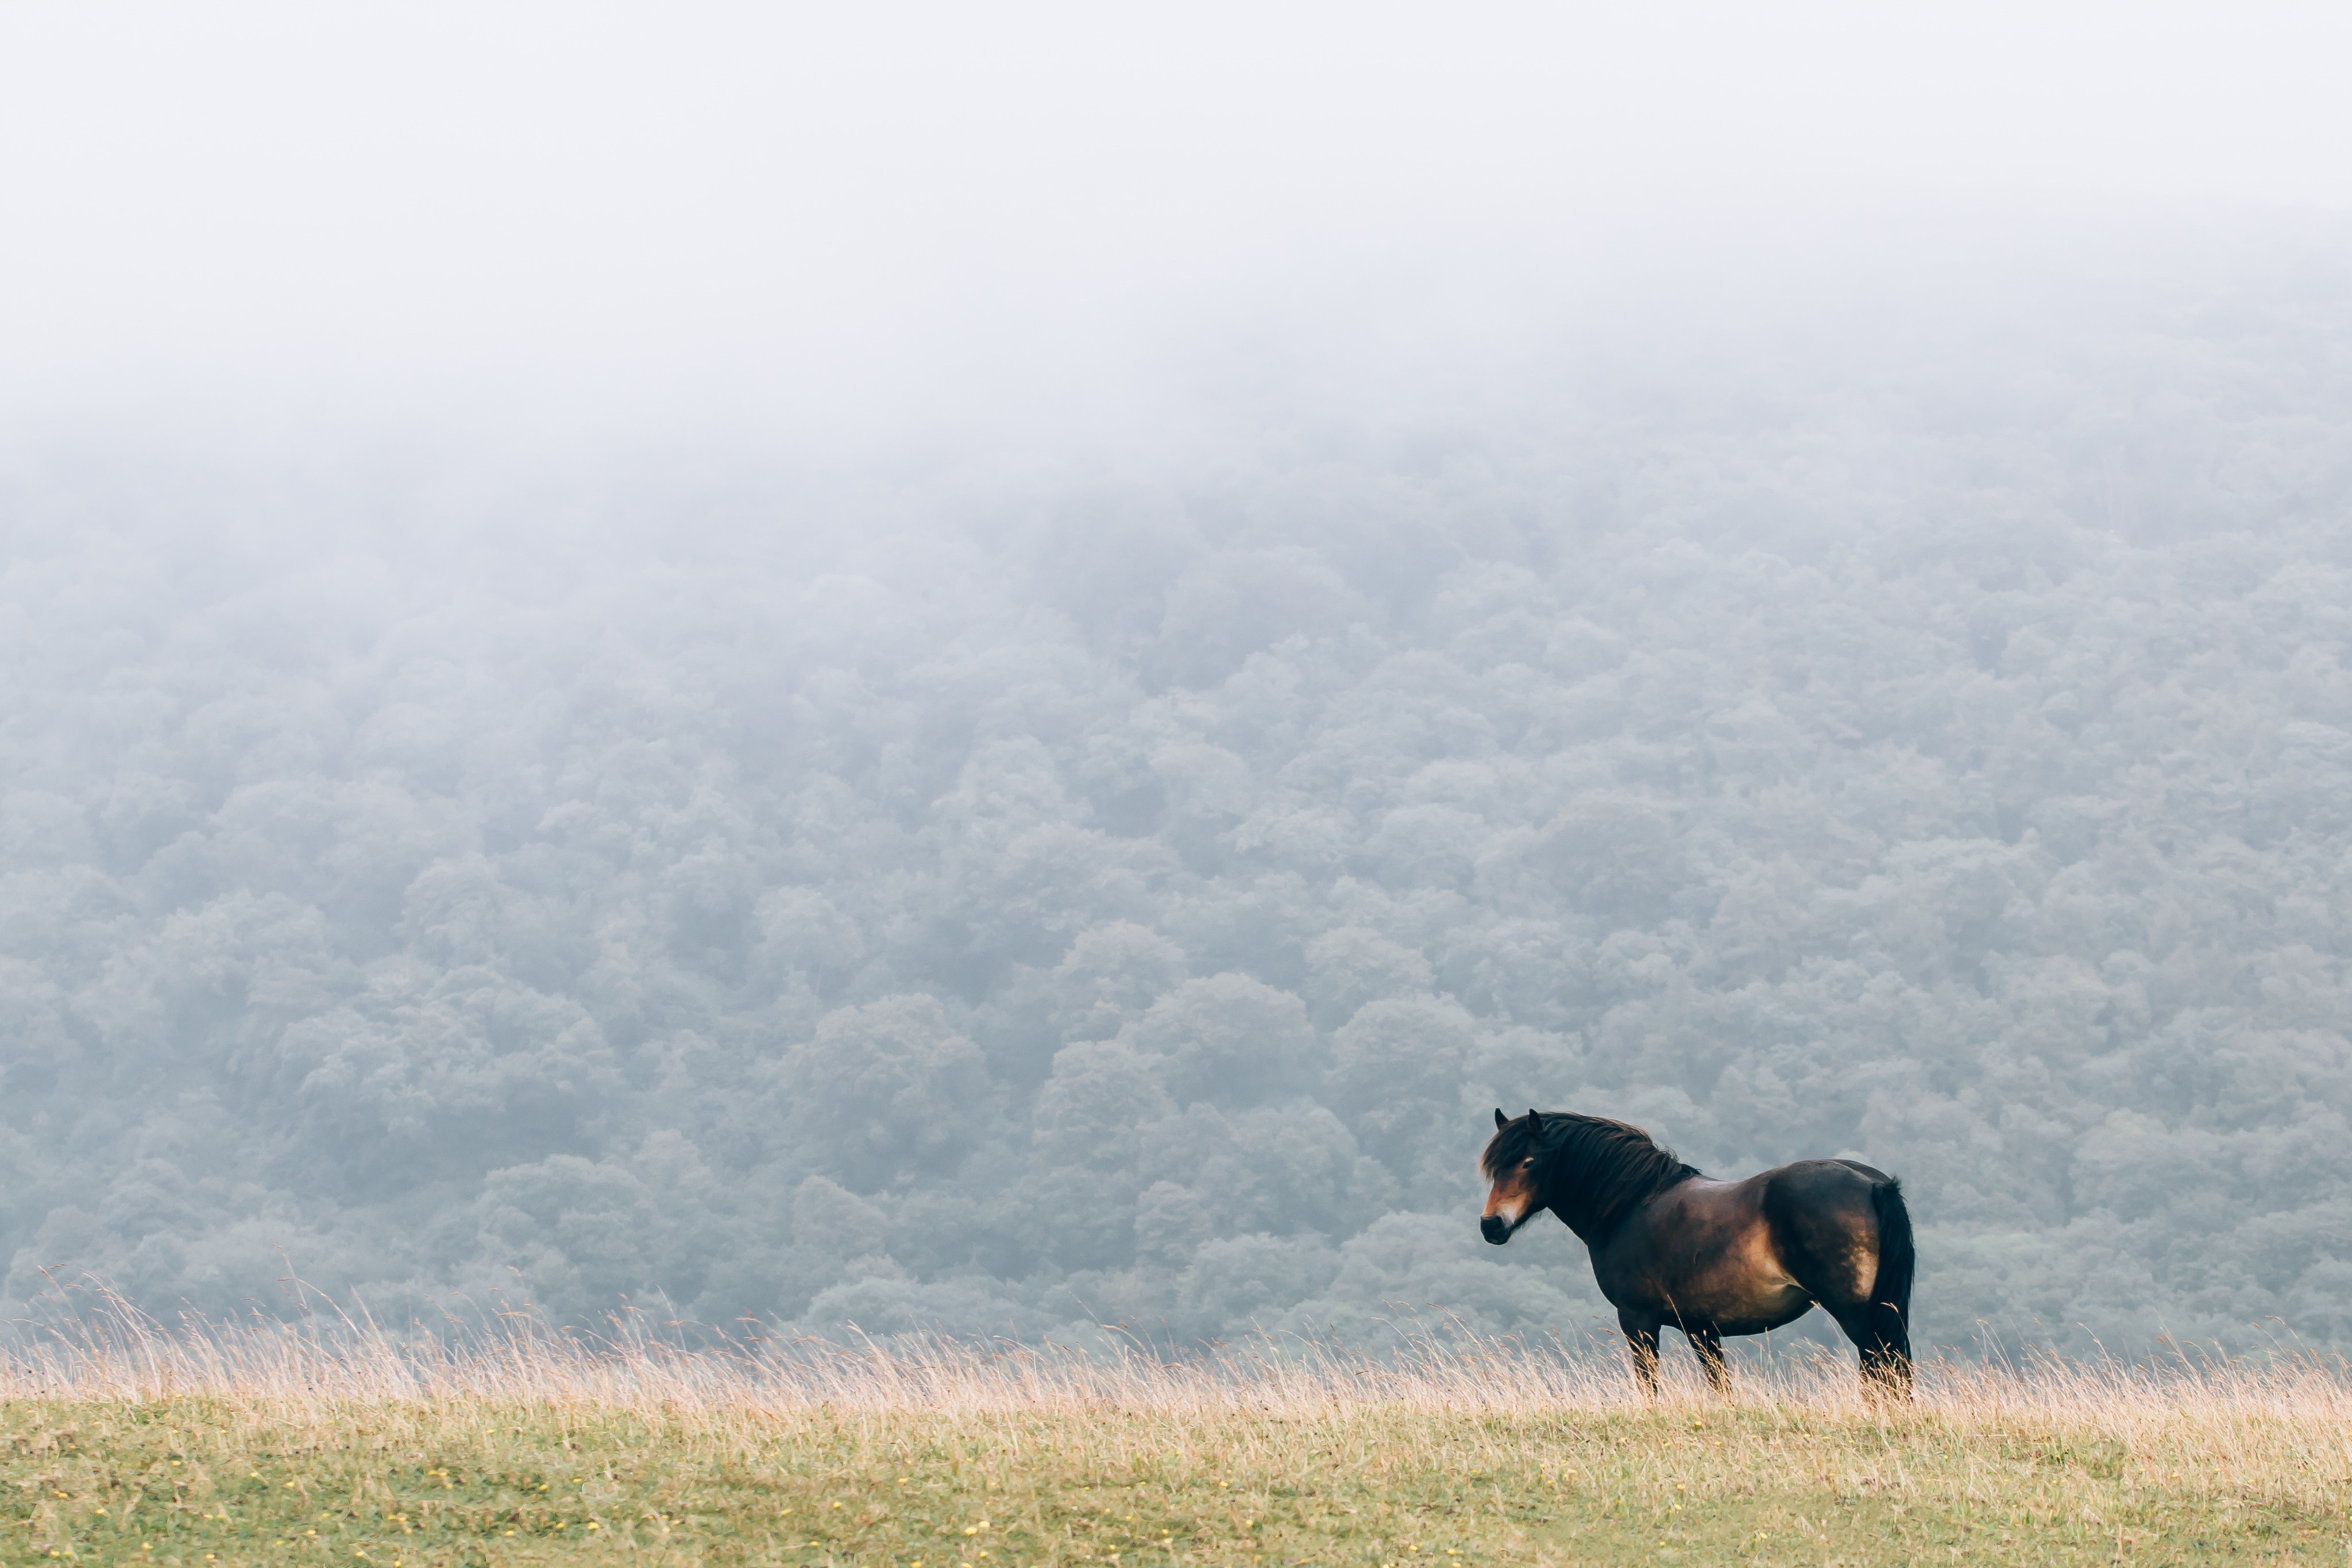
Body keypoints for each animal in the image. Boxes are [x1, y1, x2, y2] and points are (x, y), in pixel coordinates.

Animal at [1477, 1104, 1919, 1401]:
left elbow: (1649, 1386)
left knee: (1881, 1368)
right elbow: (1720, 1387)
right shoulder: (1702, 1329)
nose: (1491, 1225)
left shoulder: (1638, 1321)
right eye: (1495, 1167)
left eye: (1528, 1162)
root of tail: (1872, 1184)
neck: (1631, 1205)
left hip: (1857, 1314)